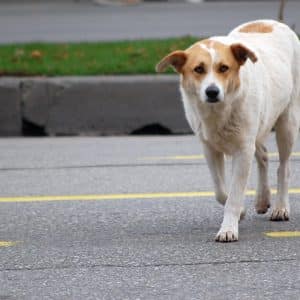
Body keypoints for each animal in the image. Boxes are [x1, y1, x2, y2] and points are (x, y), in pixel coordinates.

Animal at [156, 19, 300, 241]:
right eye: (198, 69)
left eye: (224, 68)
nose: (212, 91)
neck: (219, 112)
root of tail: (273, 22)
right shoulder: (210, 148)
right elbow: (221, 191)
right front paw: (240, 212)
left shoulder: (242, 150)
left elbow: (234, 194)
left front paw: (228, 229)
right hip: (257, 129)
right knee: (263, 155)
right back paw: (262, 199)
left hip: (287, 122)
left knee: (283, 167)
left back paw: (281, 207)